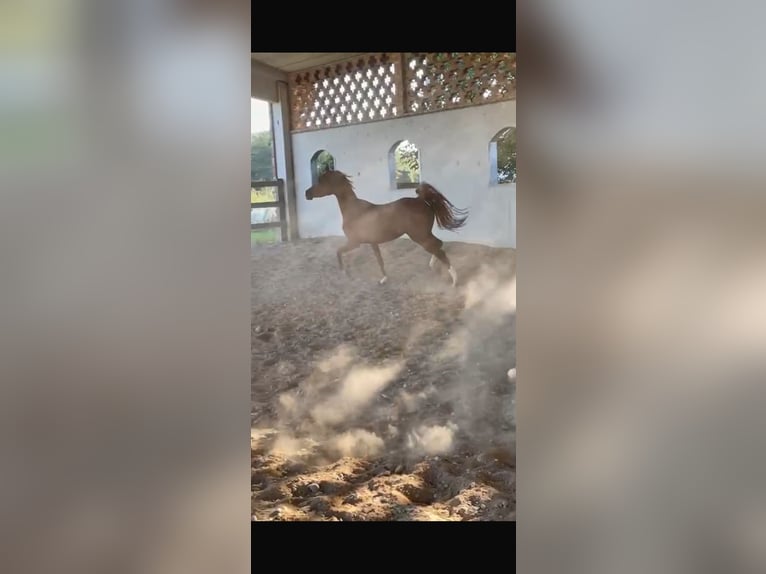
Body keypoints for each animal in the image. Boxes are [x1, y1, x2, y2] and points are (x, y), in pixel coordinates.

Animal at [304, 170, 469, 286]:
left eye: (321, 181)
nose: (307, 193)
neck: (355, 210)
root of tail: (422, 200)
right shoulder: (373, 242)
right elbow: (380, 260)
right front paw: (384, 279)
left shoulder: (354, 242)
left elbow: (338, 252)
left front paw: (344, 272)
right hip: (424, 234)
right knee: (438, 245)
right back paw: (433, 265)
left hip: (419, 236)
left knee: (438, 248)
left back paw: (454, 280)